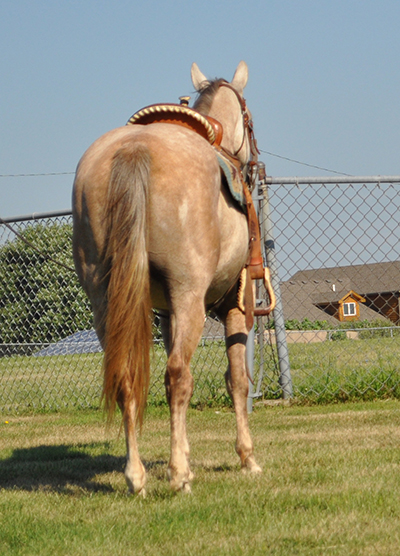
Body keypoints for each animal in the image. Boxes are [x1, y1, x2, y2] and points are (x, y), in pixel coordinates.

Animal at [72, 62, 262, 496]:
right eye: (248, 117)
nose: (253, 161)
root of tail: (134, 149)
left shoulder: (164, 315)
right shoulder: (234, 305)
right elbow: (237, 380)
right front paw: (247, 458)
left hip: (106, 303)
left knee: (125, 378)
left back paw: (137, 476)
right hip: (189, 295)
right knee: (178, 376)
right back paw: (176, 476)